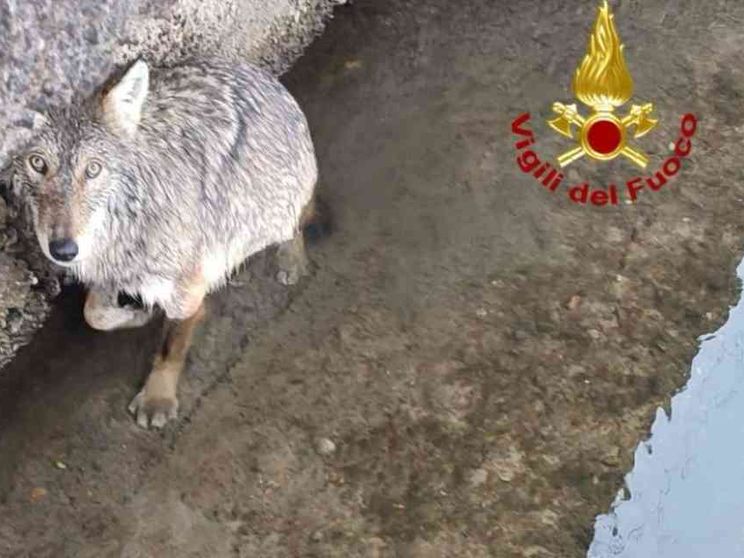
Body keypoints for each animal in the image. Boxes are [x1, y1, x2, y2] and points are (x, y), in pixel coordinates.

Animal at [13, 58, 318, 429]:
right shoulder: (111, 271)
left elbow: (170, 346)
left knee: (296, 224)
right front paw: (136, 314)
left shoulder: (186, 286)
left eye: (93, 169)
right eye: (38, 163)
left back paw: (290, 260)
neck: (125, 226)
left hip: (273, 207)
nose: (63, 250)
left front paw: (158, 398)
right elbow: (94, 314)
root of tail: (265, 77)